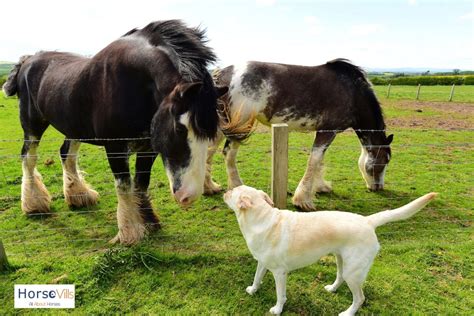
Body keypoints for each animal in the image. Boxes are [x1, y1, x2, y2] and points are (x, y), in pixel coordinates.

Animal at [2, 20, 228, 244]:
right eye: (180, 128)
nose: (188, 196)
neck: (134, 84)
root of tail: (28, 60)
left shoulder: (149, 147)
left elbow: (141, 182)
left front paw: (149, 221)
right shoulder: (115, 146)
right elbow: (124, 184)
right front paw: (130, 232)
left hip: (74, 128)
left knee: (67, 154)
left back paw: (79, 196)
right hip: (32, 126)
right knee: (28, 158)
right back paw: (34, 204)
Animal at [206, 59, 394, 212]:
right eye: (385, 161)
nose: (378, 187)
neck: (351, 92)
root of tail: (222, 75)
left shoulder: (322, 131)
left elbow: (319, 160)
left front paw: (321, 187)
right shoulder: (328, 131)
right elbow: (314, 160)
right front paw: (302, 200)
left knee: (210, 150)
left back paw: (209, 187)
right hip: (239, 126)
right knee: (228, 154)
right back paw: (238, 188)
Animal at [223, 184, 436, 314]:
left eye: (233, 191)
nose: (225, 190)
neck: (262, 219)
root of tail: (367, 221)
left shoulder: (279, 273)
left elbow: (280, 295)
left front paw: (277, 310)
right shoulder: (262, 262)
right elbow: (257, 277)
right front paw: (253, 290)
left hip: (353, 272)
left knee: (360, 298)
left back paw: (348, 313)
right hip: (341, 261)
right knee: (340, 278)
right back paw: (332, 289)